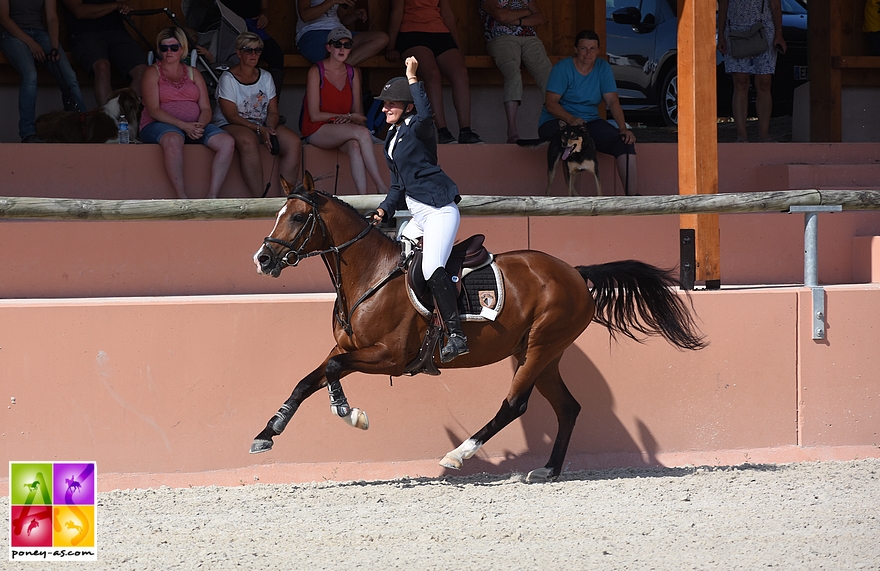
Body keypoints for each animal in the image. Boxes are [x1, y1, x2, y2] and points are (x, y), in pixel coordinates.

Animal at [251, 174, 704, 482]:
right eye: (278, 214)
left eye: (297, 217)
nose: (263, 260)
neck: (369, 275)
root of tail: (574, 272)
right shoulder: (348, 349)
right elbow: (308, 379)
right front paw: (269, 431)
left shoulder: (389, 357)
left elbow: (328, 373)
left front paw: (349, 412)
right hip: (543, 353)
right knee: (567, 407)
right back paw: (548, 470)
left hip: (540, 346)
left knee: (515, 404)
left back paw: (459, 454)